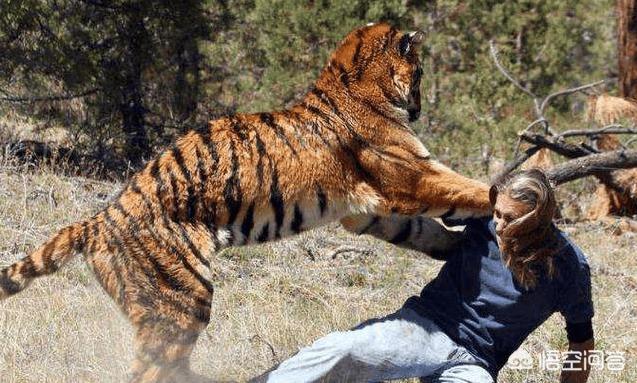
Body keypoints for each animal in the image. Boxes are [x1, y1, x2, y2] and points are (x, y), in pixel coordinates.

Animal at [0, 23, 486, 383]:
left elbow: (421, 229)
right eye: (420, 73)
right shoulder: (411, 177)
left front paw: (453, 248)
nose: (419, 108)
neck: (352, 80)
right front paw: (501, 200)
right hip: (181, 300)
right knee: (150, 370)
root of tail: (98, 220)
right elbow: (466, 189)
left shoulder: (364, 211)